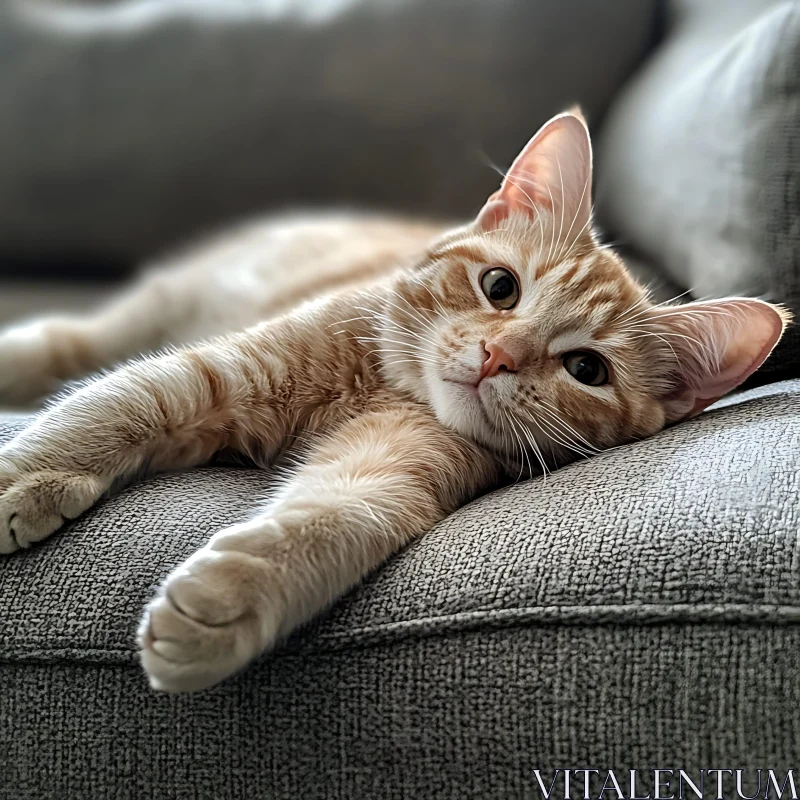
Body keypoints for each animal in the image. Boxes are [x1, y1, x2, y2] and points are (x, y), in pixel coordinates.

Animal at [0, 109, 788, 692]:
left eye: (587, 368)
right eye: (500, 287)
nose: (499, 356)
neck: (385, 386)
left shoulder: (398, 463)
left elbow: (343, 513)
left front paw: (230, 599)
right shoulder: (219, 369)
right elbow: (105, 411)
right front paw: (23, 479)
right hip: (156, 309)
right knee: (64, 344)